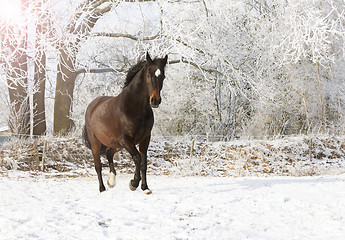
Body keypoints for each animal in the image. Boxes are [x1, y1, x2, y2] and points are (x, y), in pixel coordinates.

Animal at [84, 53, 169, 193]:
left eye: (162, 76)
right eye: (148, 75)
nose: (155, 100)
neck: (135, 109)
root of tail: (92, 106)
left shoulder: (144, 139)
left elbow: (144, 163)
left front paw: (145, 187)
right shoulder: (126, 140)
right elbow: (137, 158)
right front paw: (133, 183)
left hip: (116, 144)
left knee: (109, 153)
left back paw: (111, 181)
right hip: (97, 143)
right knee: (98, 165)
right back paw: (102, 188)